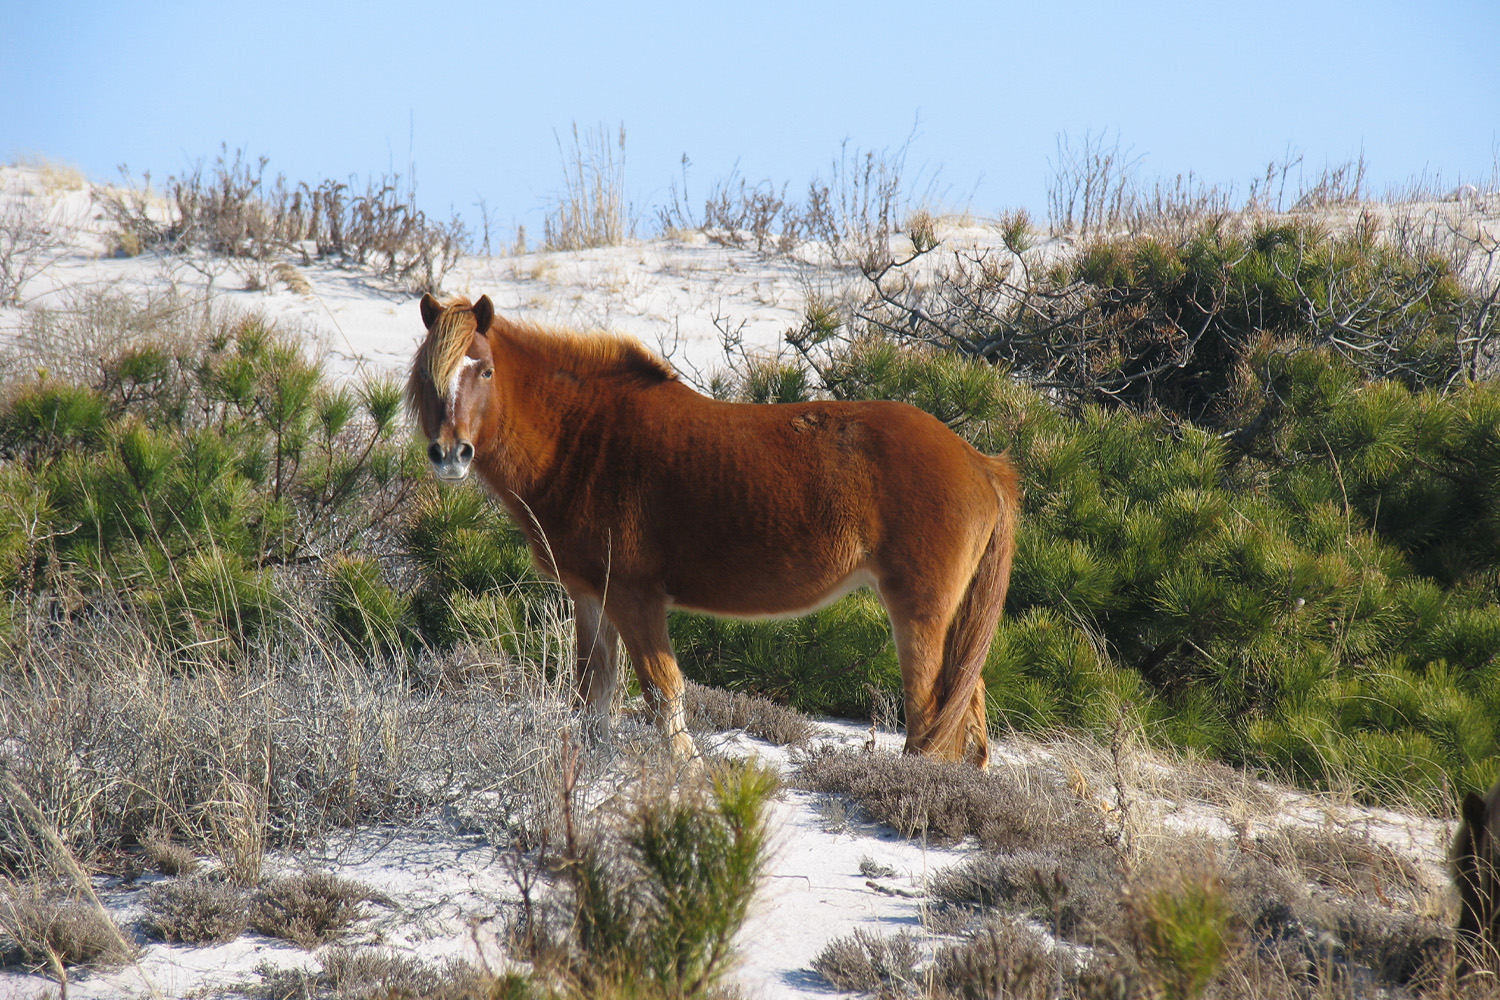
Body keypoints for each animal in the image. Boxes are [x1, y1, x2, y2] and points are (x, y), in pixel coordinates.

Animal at [408, 293, 1020, 761]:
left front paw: (687, 774)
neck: (584, 438)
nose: (450, 454)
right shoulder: (591, 596)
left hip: (920, 612)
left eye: (486, 370)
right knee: (969, 710)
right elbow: (593, 695)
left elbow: (662, 691)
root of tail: (981, 463)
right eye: (428, 377)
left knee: (930, 716)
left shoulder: (634, 596)